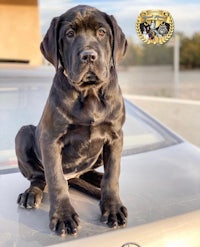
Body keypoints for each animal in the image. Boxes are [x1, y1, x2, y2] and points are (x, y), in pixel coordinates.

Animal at [16, 3, 128, 235]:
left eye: (102, 32)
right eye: (69, 34)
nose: (88, 55)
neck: (89, 92)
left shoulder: (115, 136)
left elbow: (112, 175)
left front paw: (112, 208)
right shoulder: (50, 139)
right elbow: (56, 180)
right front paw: (63, 216)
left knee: (93, 174)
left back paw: (98, 180)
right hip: (23, 133)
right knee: (40, 178)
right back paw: (31, 194)